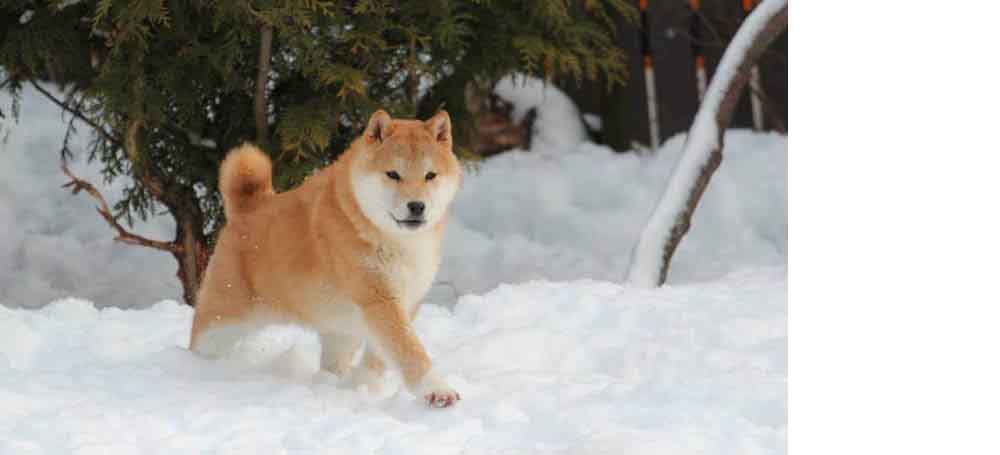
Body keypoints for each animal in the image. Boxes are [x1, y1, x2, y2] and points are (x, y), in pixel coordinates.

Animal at [189, 108, 462, 408]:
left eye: (430, 175)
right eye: (393, 174)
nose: (416, 206)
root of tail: (248, 207)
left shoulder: (403, 302)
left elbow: (380, 357)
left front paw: (364, 387)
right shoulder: (378, 298)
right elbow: (409, 351)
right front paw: (437, 390)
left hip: (340, 329)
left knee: (334, 363)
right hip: (224, 323)